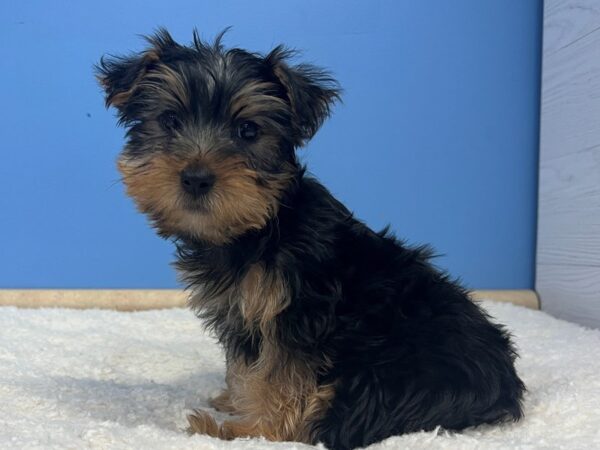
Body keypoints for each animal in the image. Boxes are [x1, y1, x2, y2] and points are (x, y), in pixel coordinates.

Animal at [97, 29, 524, 450]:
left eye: (248, 131)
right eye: (170, 121)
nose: (196, 178)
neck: (264, 225)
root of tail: (505, 394)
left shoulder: (298, 315)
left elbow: (279, 377)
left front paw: (256, 429)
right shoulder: (244, 312)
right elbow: (245, 366)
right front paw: (236, 400)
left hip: (386, 374)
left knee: (335, 422)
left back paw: (216, 430)